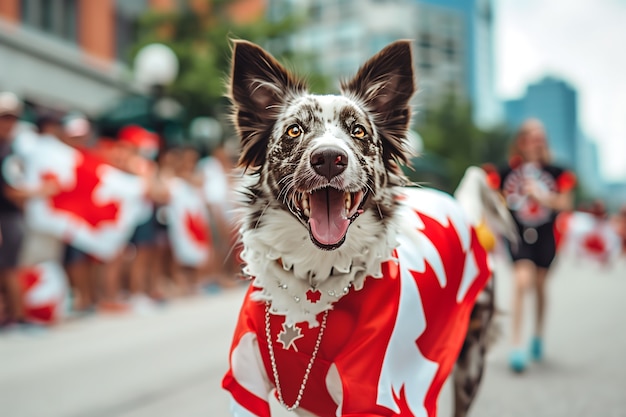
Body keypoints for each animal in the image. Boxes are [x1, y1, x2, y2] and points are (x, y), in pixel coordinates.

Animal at [221, 39, 512, 416]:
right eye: (294, 130)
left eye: (358, 131)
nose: (329, 158)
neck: (314, 281)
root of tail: (459, 206)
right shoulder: (245, 382)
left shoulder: (376, 391)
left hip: (469, 364)